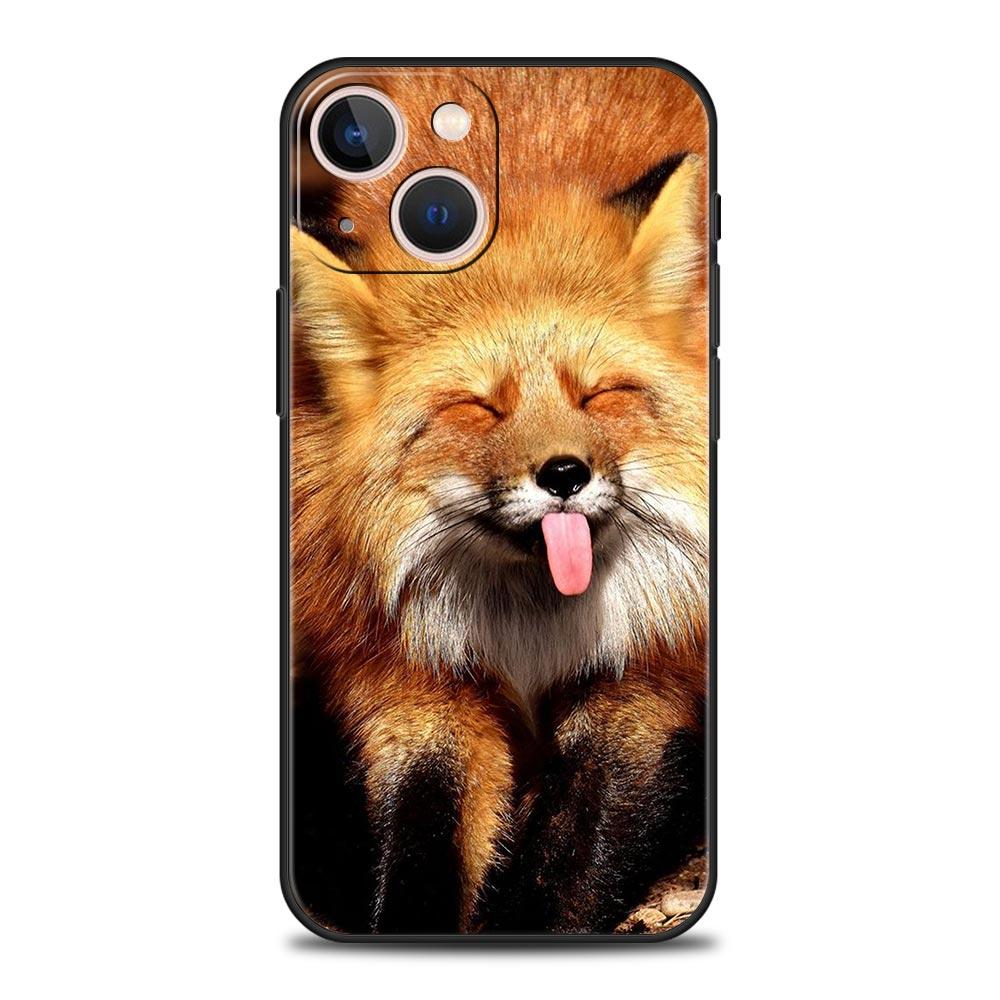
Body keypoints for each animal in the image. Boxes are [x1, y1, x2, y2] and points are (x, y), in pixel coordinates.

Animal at [288, 67, 710, 934]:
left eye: (599, 394)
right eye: (478, 408)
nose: (564, 475)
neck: (532, 629)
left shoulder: (651, 675)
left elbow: (576, 853)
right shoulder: (411, 681)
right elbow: (423, 832)